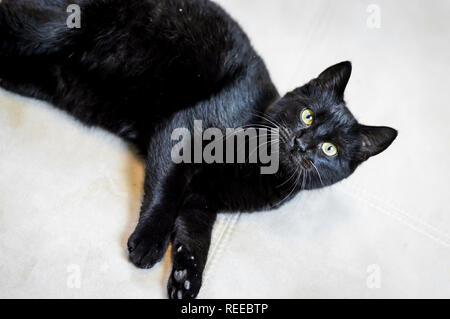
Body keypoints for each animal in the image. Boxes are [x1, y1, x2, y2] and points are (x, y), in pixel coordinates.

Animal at [0, 0, 398, 300]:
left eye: (330, 149)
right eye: (307, 115)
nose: (302, 143)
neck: (257, 169)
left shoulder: (202, 203)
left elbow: (196, 239)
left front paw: (186, 280)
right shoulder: (182, 135)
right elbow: (164, 195)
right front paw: (149, 243)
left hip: (46, 76)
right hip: (51, 28)